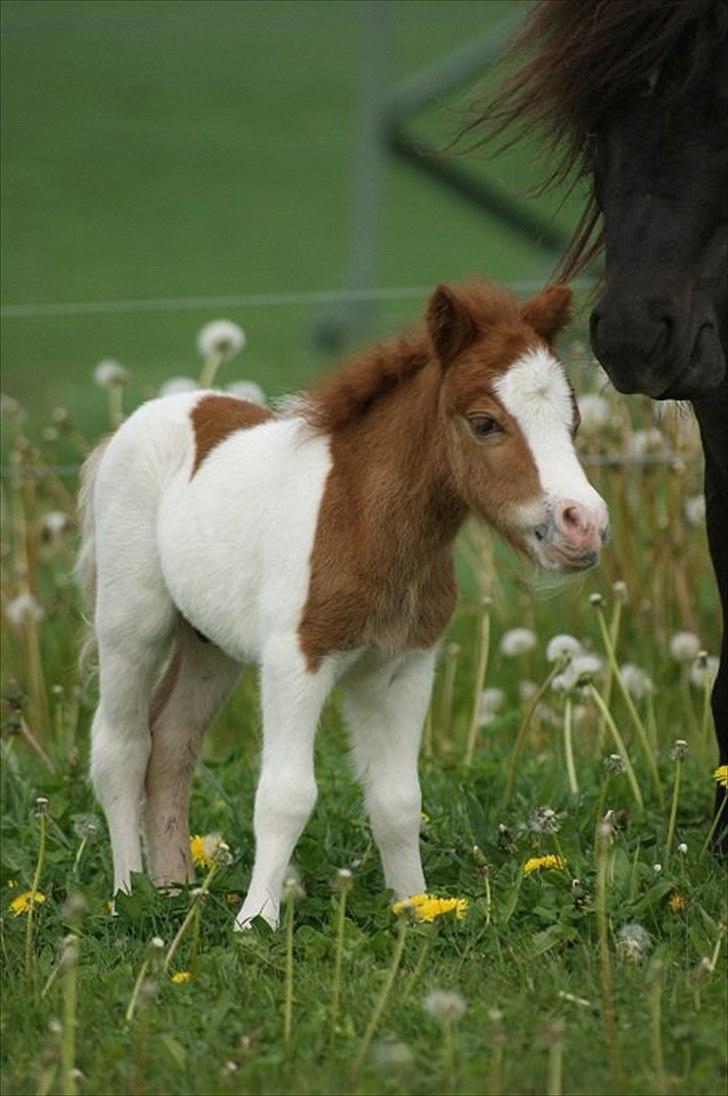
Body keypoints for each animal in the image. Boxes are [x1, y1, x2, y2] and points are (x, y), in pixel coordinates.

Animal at [78, 280, 609, 925]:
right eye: (485, 423)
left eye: (571, 419)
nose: (585, 526)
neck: (363, 518)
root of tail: (144, 418)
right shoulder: (298, 659)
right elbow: (286, 795)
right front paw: (257, 921)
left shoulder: (404, 665)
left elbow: (399, 799)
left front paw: (417, 908)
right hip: (133, 623)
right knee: (122, 747)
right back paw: (127, 895)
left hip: (211, 645)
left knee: (172, 742)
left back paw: (174, 888)